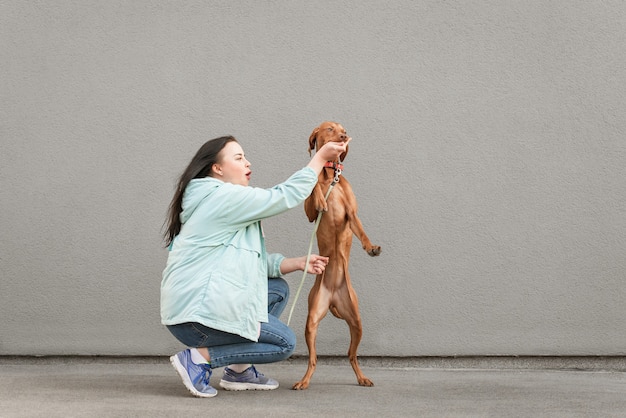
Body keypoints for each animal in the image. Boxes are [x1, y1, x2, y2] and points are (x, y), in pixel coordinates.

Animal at [290, 122, 378, 390]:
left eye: (343, 128)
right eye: (329, 128)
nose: (344, 136)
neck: (331, 176)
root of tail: (332, 299)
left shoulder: (351, 212)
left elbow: (361, 231)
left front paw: (371, 247)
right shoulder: (310, 214)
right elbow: (313, 189)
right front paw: (320, 196)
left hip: (356, 321)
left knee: (351, 355)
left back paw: (362, 377)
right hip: (311, 321)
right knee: (313, 359)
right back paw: (304, 381)